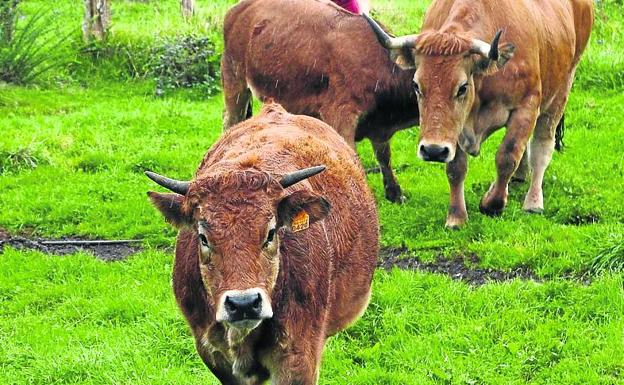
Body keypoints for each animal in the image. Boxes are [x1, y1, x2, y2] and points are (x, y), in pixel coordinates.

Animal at [219, 0, 420, 204]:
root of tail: (237, 9)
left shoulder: (379, 127)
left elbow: (383, 155)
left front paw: (394, 192)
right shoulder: (341, 115)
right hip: (234, 81)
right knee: (230, 122)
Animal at [366, 0, 596, 226]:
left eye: (462, 87)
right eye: (416, 85)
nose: (433, 150)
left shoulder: (526, 107)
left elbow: (507, 156)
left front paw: (492, 203)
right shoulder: (456, 129)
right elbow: (456, 168)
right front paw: (456, 216)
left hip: (562, 88)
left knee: (542, 146)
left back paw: (533, 201)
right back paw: (520, 176)